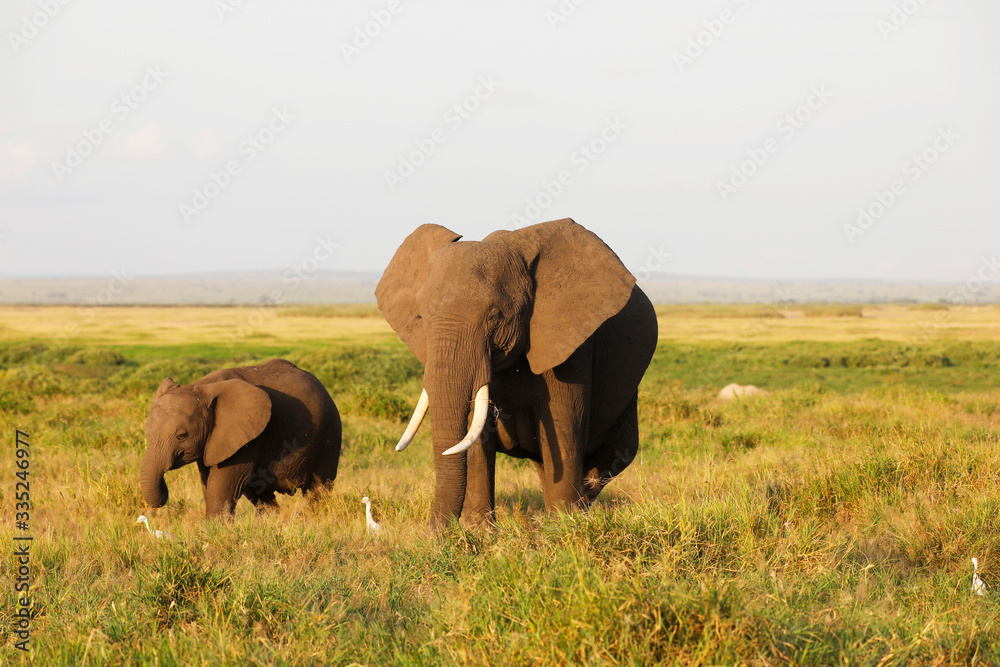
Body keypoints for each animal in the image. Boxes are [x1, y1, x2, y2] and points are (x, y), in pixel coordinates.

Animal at [140, 358, 342, 517]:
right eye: (146, 431)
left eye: (182, 436)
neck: (200, 388)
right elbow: (208, 483)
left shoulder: (247, 437)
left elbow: (221, 487)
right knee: (260, 494)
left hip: (330, 432)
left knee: (318, 489)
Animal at [375, 218, 658, 528]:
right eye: (421, 318)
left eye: (494, 316)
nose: (435, 533)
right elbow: (476, 432)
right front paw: (478, 531)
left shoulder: (572, 345)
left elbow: (562, 426)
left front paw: (563, 527)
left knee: (612, 456)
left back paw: (579, 507)